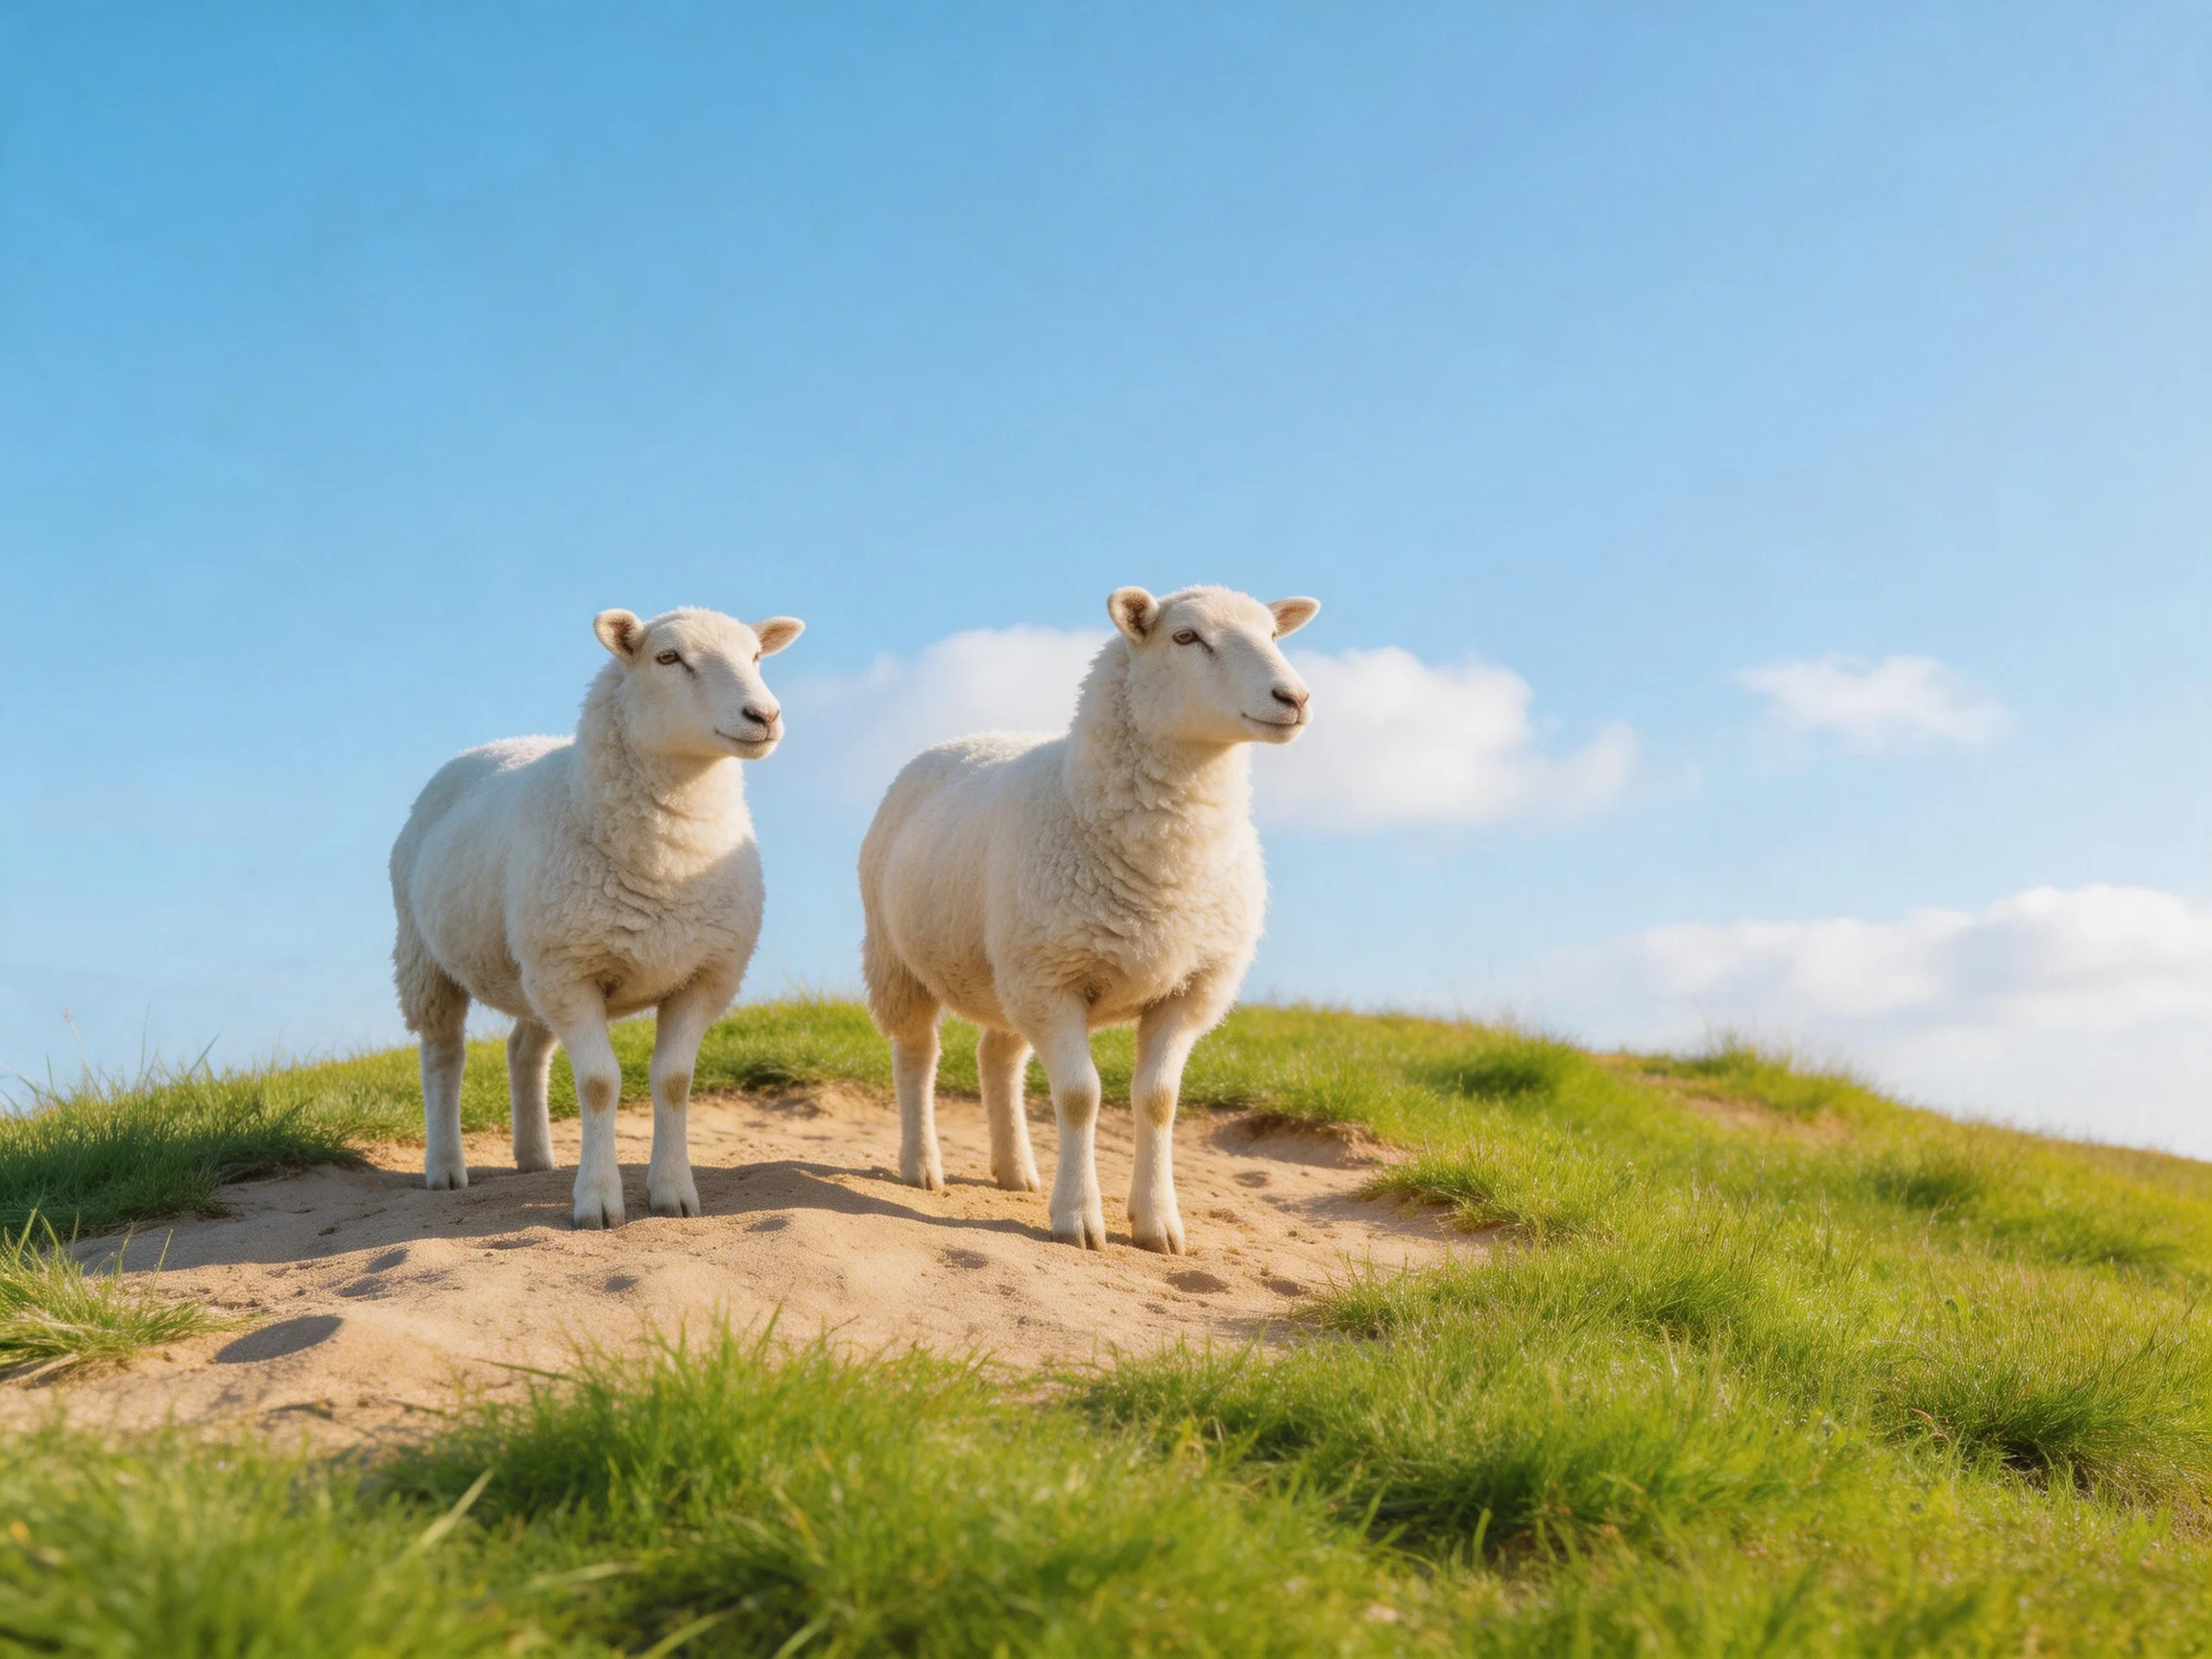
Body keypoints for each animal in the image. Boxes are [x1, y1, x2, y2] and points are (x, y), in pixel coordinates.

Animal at [389, 605, 803, 1228]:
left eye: (756, 657)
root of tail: (500, 742)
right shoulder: (572, 975)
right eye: (667, 657)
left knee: (524, 1050)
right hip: (427, 958)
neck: (668, 861)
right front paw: (599, 1201)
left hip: (533, 965)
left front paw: (674, 1192)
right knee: (443, 1057)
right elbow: (600, 1084)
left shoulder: (703, 974)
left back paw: (535, 1159)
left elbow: (674, 1082)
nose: (765, 715)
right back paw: (445, 1168)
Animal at [858, 584, 1318, 1253]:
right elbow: (1079, 1097)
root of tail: (971, 737)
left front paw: (1157, 1222)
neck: (1167, 867)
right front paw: (1078, 1217)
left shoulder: (1187, 989)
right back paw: (922, 1165)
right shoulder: (1054, 983)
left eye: (1275, 636)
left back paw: (1015, 1170)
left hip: (1010, 969)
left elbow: (1158, 1101)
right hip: (902, 959)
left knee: (998, 1058)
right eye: (1185, 637)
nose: (1295, 698)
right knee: (917, 1054)